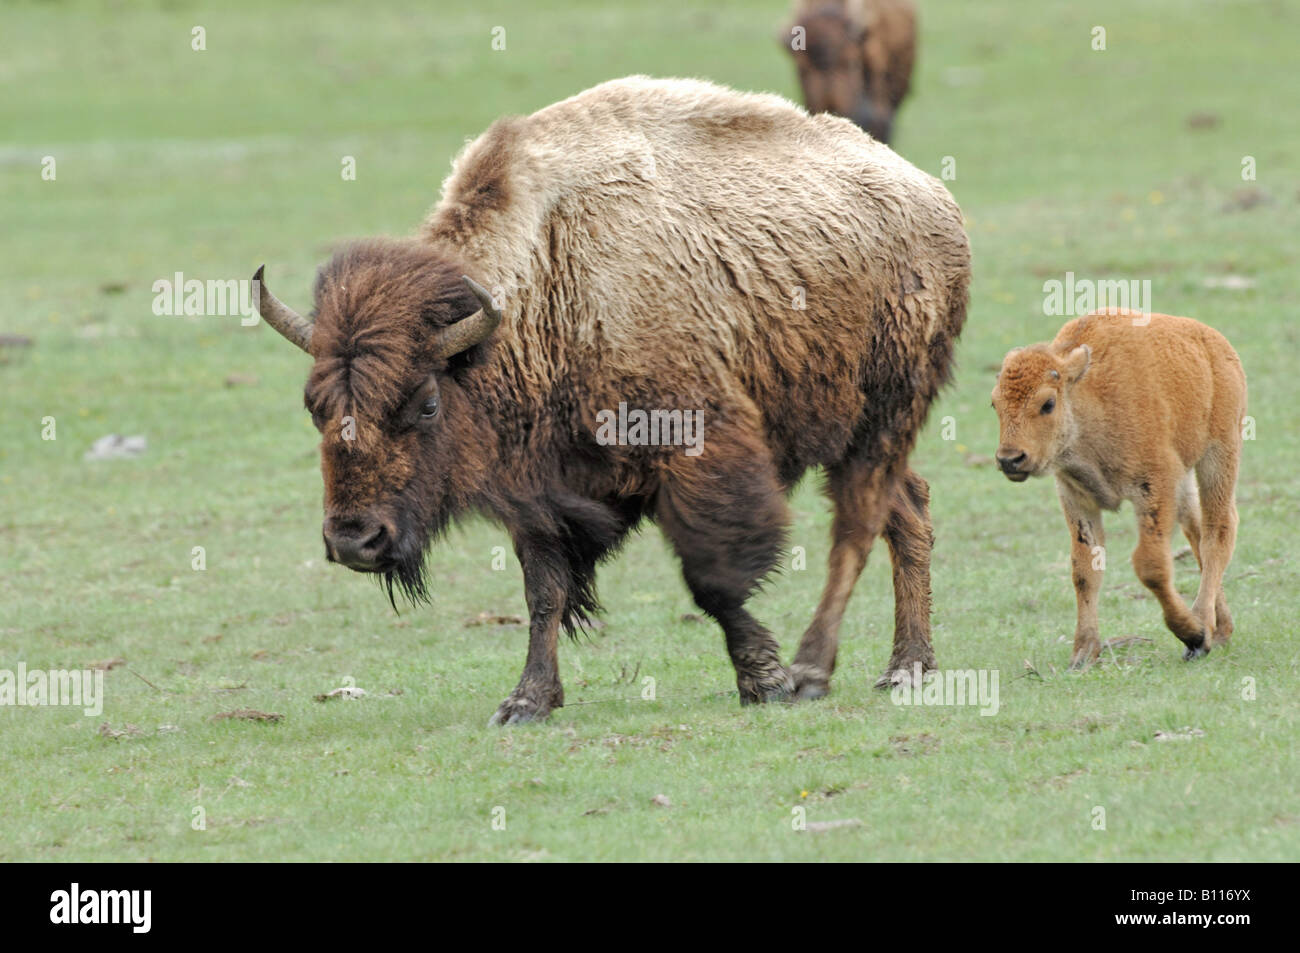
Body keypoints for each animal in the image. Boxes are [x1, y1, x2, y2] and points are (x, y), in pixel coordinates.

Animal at [253, 76, 970, 724]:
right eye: (315, 407)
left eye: (426, 402)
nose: (354, 539)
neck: (548, 277)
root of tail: (931, 196)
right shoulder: (540, 493)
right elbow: (544, 591)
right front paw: (527, 701)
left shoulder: (699, 451)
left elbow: (713, 580)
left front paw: (765, 681)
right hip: (853, 429)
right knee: (908, 510)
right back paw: (908, 666)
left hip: (882, 415)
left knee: (856, 529)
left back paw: (817, 669)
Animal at [991, 310, 1246, 668]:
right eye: (994, 404)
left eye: (1048, 403)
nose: (1010, 459)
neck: (1088, 395)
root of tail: (1217, 344)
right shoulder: (1077, 499)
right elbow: (1084, 570)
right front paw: (1083, 653)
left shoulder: (1155, 486)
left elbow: (1151, 566)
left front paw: (1191, 634)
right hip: (1187, 480)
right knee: (1196, 531)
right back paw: (1219, 629)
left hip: (1219, 454)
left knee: (1217, 532)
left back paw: (1202, 630)